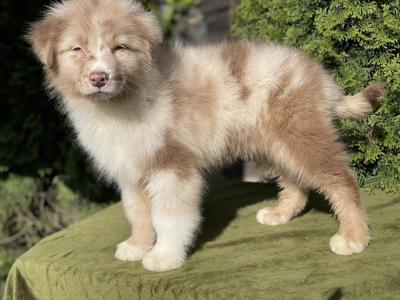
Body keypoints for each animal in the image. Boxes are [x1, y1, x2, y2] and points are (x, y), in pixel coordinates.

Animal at [28, 0, 384, 272]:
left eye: (120, 48)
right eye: (77, 49)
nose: (98, 77)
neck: (123, 102)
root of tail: (321, 77)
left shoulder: (172, 166)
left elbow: (168, 217)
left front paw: (164, 256)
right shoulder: (132, 170)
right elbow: (138, 214)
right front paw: (138, 245)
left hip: (300, 134)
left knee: (342, 181)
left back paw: (353, 238)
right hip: (270, 142)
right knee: (295, 182)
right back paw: (279, 214)